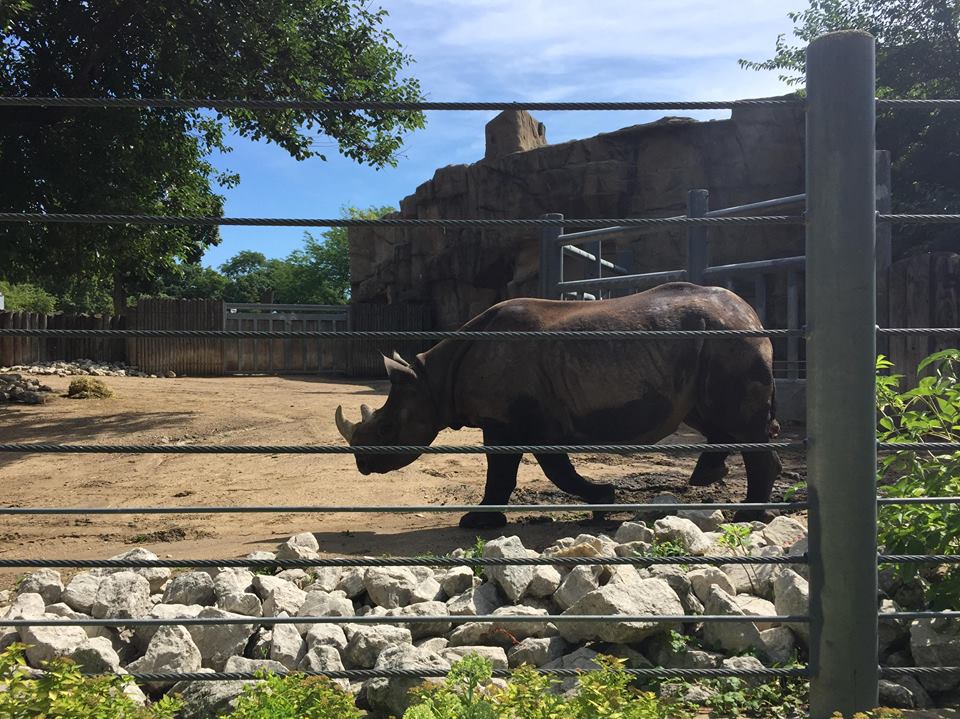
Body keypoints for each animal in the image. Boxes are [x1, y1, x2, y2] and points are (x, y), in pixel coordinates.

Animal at [335, 282, 781, 528]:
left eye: (386, 430)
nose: (361, 464)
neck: (432, 381)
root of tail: (752, 313)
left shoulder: (511, 420)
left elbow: (519, 470)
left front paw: (476, 522)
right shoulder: (530, 420)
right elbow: (548, 468)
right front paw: (603, 499)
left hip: (729, 339)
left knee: (737, 420)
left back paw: (746, 515)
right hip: (713, 341)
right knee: (713, 416)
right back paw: (708, 478)